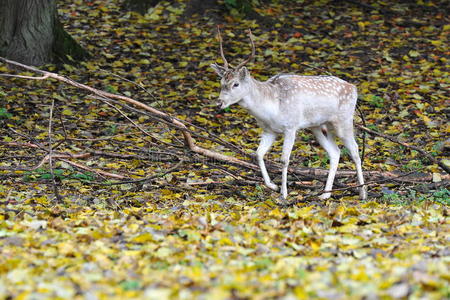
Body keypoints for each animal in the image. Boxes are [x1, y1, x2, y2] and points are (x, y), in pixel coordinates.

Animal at [211, 28, 366, 200]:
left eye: (236, 84)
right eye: (221, 83)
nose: (219, 102)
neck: (271, 108)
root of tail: (354, 88)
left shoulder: (291, 127)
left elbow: (284, 160)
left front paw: (284, 193)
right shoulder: (269, 130)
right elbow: (258, 154)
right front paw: (273, 185)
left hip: (344, 120)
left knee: (355, 150)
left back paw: (362, 192)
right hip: (319, 126)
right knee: (335, 152)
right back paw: (325, 195)